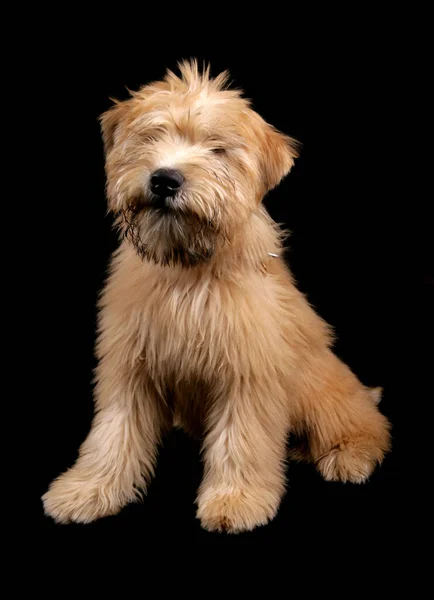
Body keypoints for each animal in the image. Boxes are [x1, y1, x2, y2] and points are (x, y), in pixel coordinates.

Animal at [42, 58, 392, 532]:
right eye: (152, 136)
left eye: (217, 149)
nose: (165, 180)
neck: (189, 275)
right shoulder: (130, 366)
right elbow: (113, 434)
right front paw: (88, 490)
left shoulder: (246, 373)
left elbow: (241, 441)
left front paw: (234, 500)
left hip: (319, 386)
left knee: (364, 424)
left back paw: (347, 457)